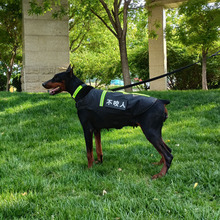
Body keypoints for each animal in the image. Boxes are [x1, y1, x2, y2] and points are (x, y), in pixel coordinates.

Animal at [43, 65, 173, 179]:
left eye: (56, 77)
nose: (43, 84)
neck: (81, 93)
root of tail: (161, 101)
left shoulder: (87, 129)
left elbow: (89, 152)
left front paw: (89, 169)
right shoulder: (96, 129)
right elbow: (98, 149)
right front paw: (99, 162)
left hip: (150, 131)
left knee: (168, 155)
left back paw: (160, 174)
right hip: (155, 131)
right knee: (167, 150)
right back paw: (159, 165)